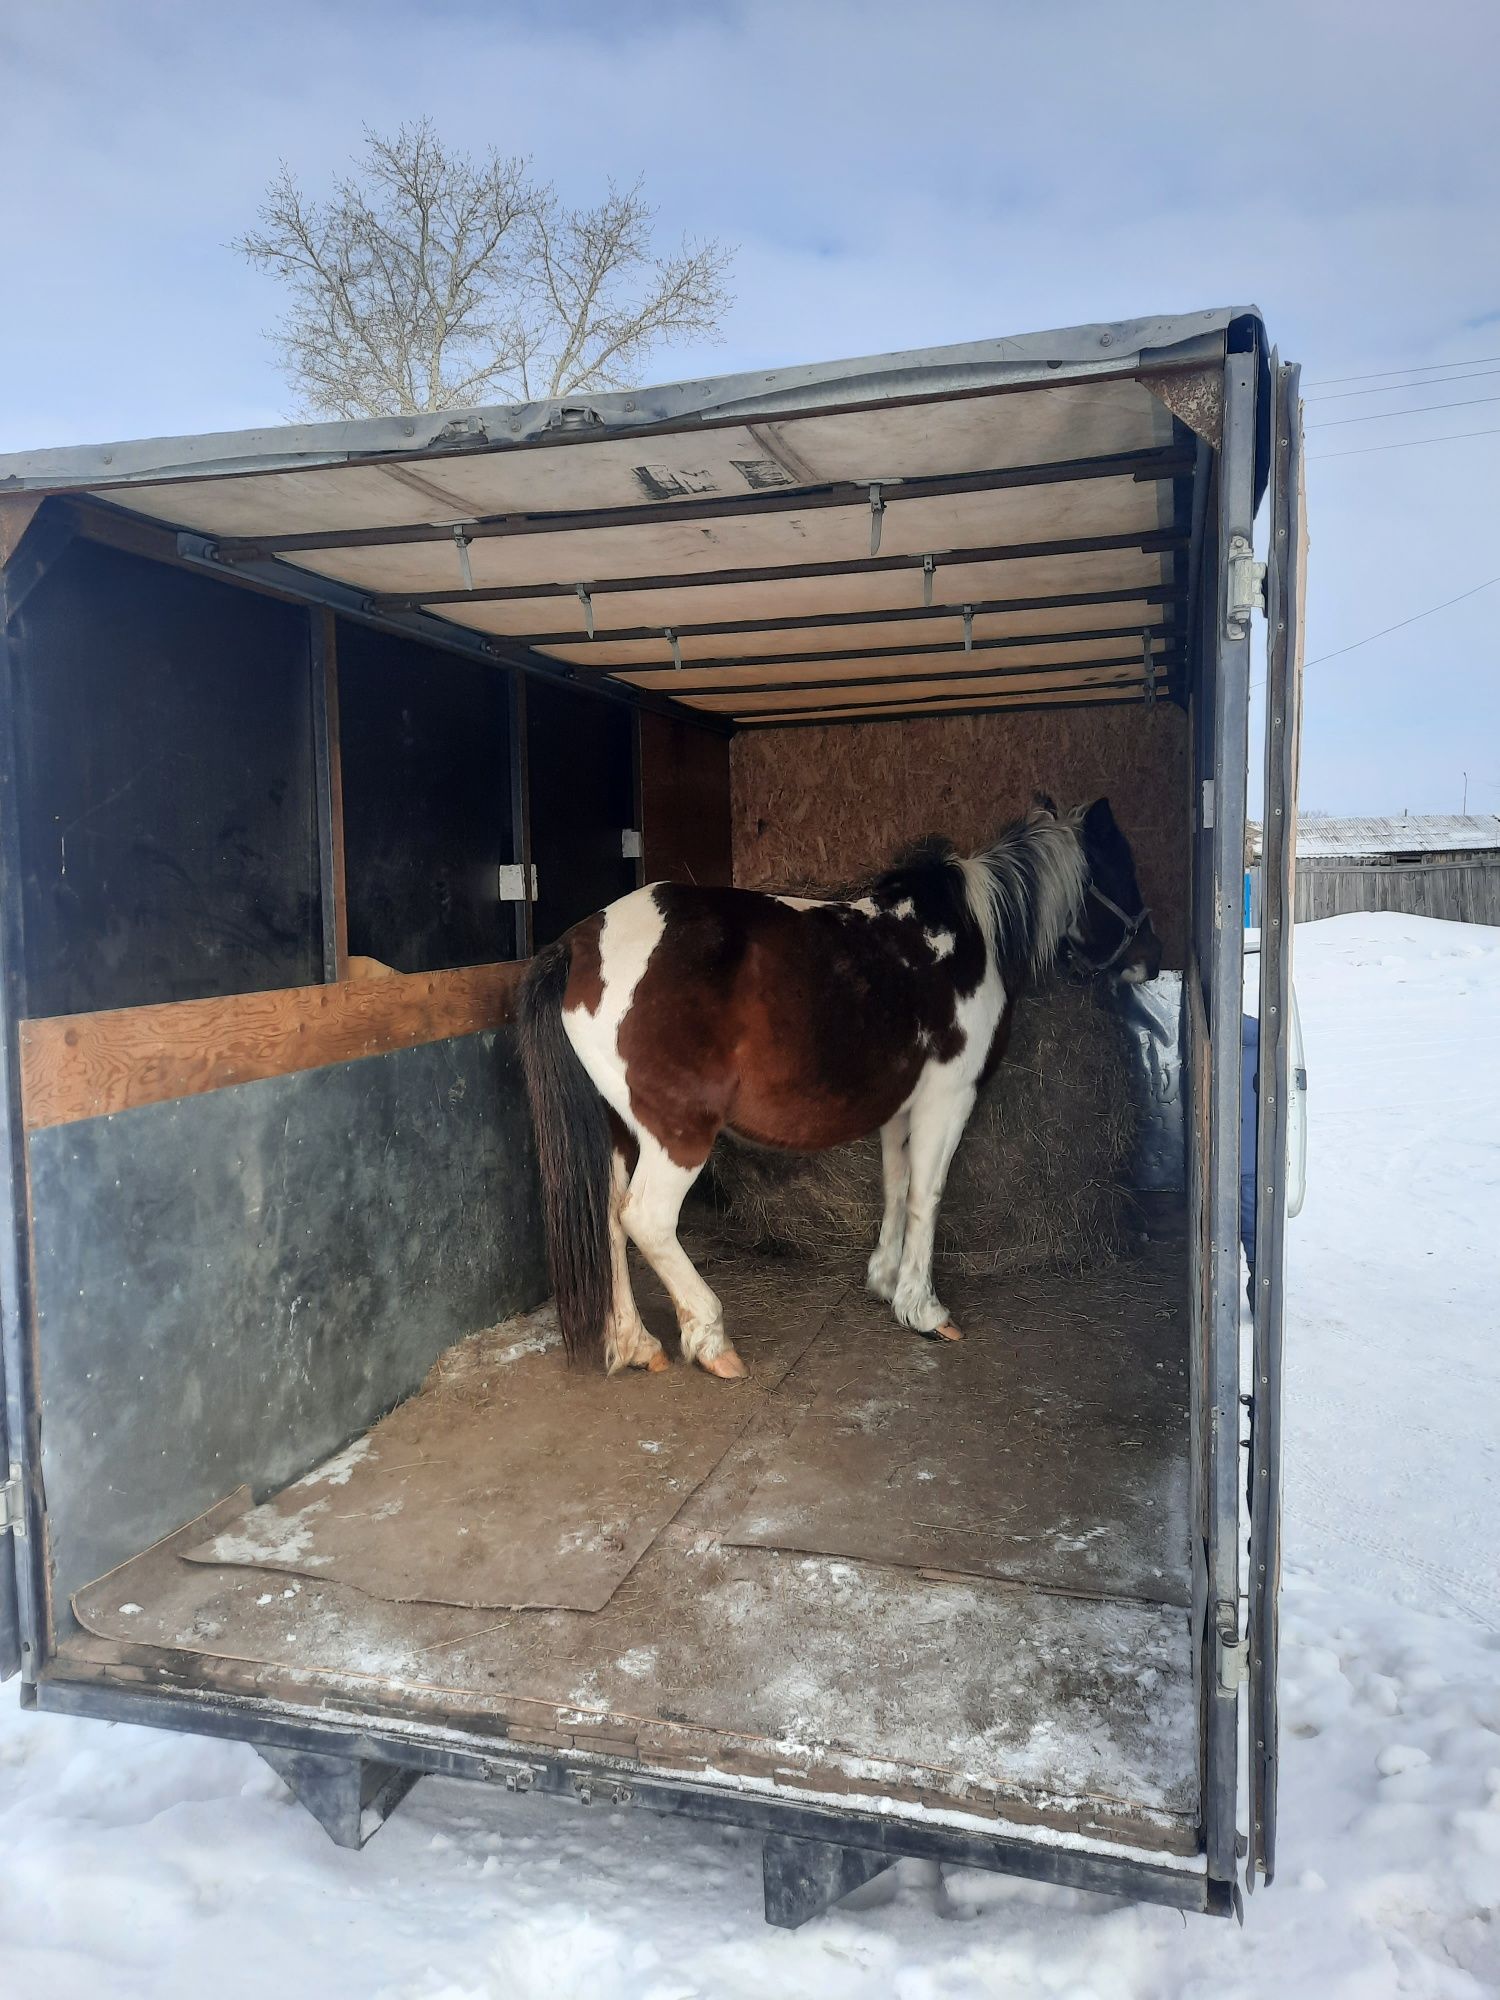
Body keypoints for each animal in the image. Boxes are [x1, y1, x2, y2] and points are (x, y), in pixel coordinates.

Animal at [516, 792, 1160, 1376]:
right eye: (1124, 871)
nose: (1149, 963)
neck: (966, 933)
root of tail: (578, 946)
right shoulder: (947, 1098)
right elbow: (927, 1196)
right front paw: (924, 1310)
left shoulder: (901, 1108)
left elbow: (897, 1187)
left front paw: (886, 1281)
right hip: (677, 1132)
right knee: (645, 1219)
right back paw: (711, 1340)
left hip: (620, 1127)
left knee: (607, 1220)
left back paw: (635, 1344)